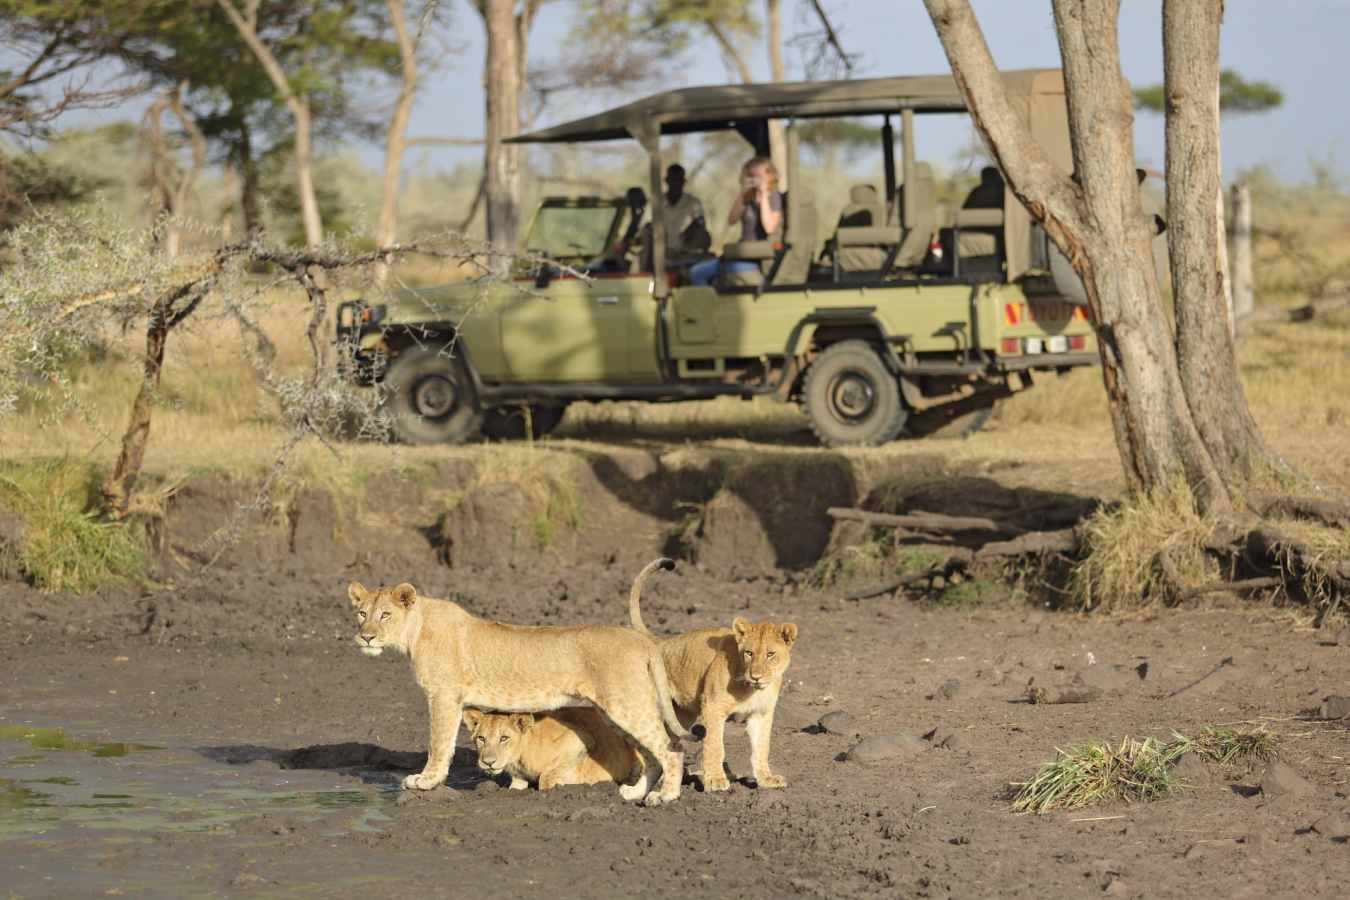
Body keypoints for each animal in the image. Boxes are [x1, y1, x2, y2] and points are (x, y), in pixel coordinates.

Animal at [463, 707, 643, 792]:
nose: (488, 762)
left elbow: (547, 775)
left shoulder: (581, 739)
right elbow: (516, 785)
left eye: (504, 738)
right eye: (481, 738)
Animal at [628, 557, 798, 792]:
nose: (756, 676)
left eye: (770, 654)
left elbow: (761, 748)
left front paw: (766, 778)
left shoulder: (761, 714)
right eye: (749, 653)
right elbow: (715, 746)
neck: (752, 689)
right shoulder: (713, 707)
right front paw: (715, 780)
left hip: (681, 715)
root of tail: (660, 641)